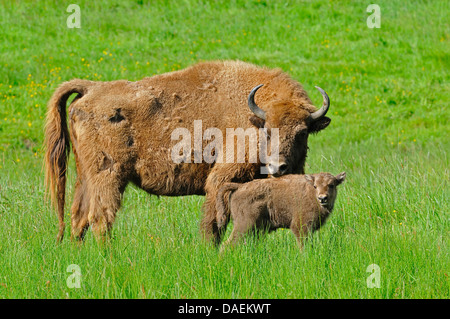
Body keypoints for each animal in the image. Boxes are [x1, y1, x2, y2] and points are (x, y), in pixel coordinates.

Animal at [44, 60, 330, 245]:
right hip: (109, 175)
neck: (252, 117)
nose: (278, 167)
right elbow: (214, 222)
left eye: (302, 132)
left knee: (78, 217)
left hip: (85, 175)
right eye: (267, 130)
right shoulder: (220, 180)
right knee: (100, 218)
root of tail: (91, 88)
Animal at [216, 172, 346, 250]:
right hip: (244, 226)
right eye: (315, 186)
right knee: (226, 245)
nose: (322, 198)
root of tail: (239, 187)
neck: (311, 194)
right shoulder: (300, 226)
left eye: (332, 185)